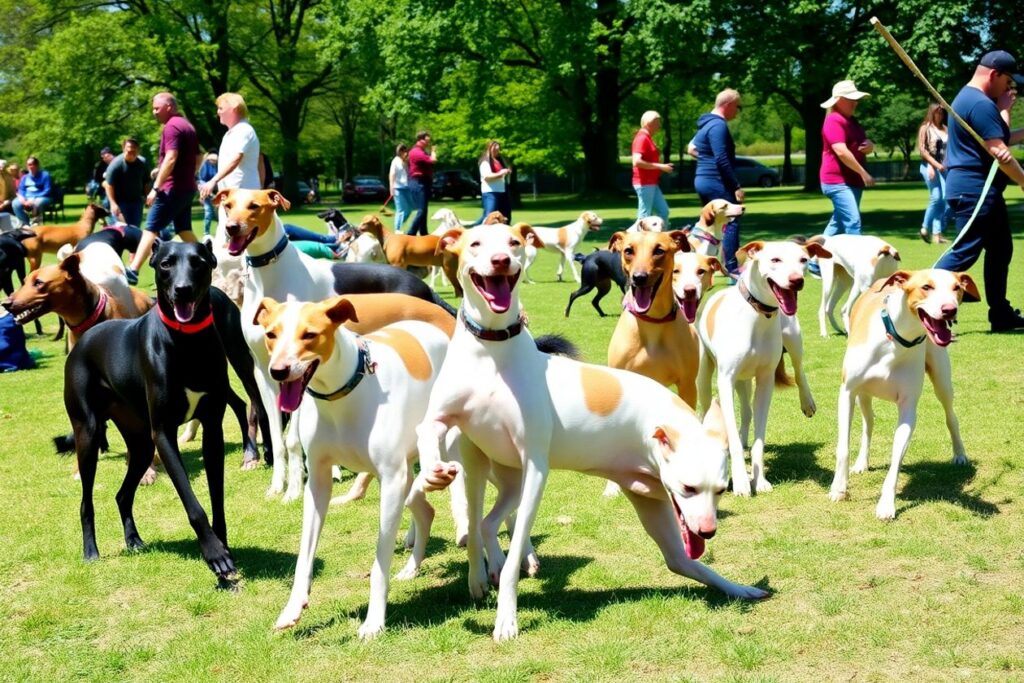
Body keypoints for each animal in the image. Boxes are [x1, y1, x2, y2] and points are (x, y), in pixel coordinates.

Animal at [415, 223, 770, 643]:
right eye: (687, 488)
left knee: (487, 523)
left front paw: (738, 588)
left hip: (515, 479)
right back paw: (478, 576)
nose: (709, 531)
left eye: (720, 490)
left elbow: (683, 561)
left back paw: (495, 564)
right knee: (474, 522)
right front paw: (507, 617)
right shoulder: (443, 419)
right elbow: (427, 429)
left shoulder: (549, 471)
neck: (491, 353)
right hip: (478, 469)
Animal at [696, 240, 831, 497]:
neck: (758, 314)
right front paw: (740, 481)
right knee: (715, 402)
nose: (797, 280)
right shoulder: (726, 380)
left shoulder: (765, 379)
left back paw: (807, 401)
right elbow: (732, 433)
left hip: (792, 335)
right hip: (710, 374)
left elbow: (760, 436)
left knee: (798, 367)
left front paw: (759, 480)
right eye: (775, 260)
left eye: (803, 260)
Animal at [823, 270, 974, 520]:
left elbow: (896, 458)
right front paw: (839, 488)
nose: (949, 309)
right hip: (863, 394)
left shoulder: (908, 407)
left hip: (942, 379)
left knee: (950, 415)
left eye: (957, 288)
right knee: (868, 423)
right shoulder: (847, 392)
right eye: (926, 287)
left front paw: (886, 504)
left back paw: (959, 453)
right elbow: (843, 446)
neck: (896, 339)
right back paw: (861, 462)